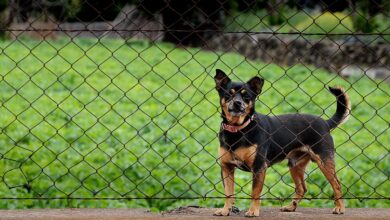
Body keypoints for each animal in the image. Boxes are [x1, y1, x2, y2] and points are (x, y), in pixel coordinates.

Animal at [213, 69, 350, 217]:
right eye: (228, 94)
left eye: (247, 97)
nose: (237, 103)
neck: (239, 130)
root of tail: (325, 122)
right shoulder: (227, 167)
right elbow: (228, 193)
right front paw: (225, 210)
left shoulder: (259, 167)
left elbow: (255, 193)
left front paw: (253, 211)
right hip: (295, 165)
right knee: (302, 188)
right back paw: (291, 207)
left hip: (324, 162)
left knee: (337, 185)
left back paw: (340, 208)